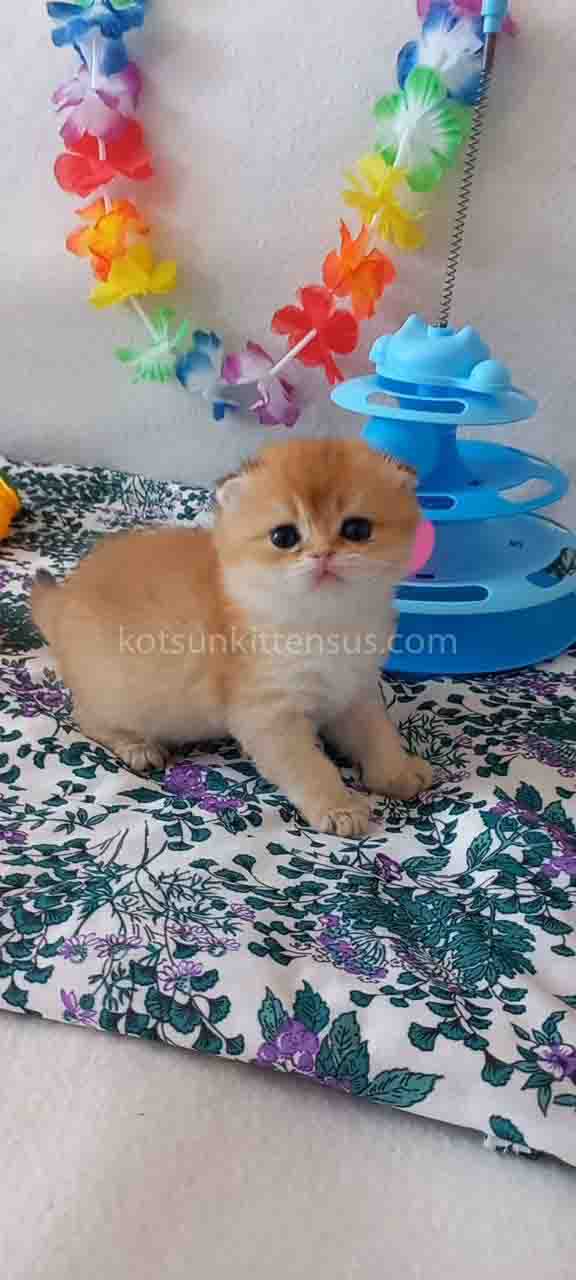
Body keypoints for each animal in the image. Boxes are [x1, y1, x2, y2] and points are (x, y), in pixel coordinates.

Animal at [31, 438, 433, 835]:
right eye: (284, 537)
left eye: (356, 530)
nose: (323, 555)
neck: (326, 623)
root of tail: (64, 600)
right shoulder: (270, 717)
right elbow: (311, 767)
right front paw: (339, 807)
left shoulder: (355, 692)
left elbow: (378, 736)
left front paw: (398, 773)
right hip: (121, 697)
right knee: (87, 717)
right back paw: (136, 746)